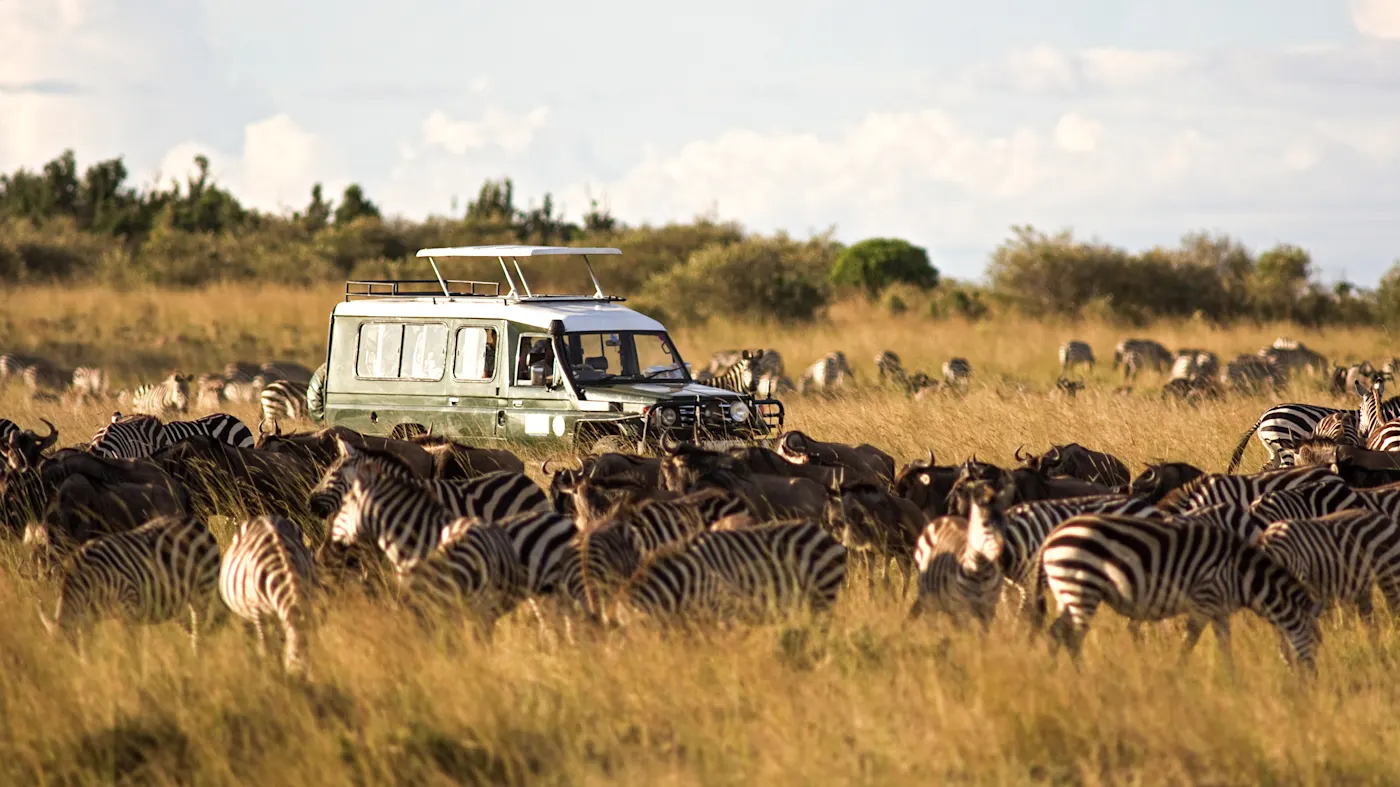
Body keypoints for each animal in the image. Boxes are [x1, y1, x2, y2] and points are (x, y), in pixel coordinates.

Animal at [39, 515, 223, 650]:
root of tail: (196, 522)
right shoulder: (87, 619)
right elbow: (87, 648)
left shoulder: (128, 607)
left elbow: (131, 648)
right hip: (179, 600)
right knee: (193, 630)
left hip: (202, 592)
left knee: (199, 631)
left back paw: (196, 659)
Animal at [1039, 513, 1323, 669]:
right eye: (1316, 642)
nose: (1312, 683)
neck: (1242, 575)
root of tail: (1052, 536)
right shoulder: (1204, 600)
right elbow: (1190, 642)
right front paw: (1176, 675)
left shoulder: (1219, 610)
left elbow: (1225, 646)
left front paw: (1232, 681)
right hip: (1082, 587)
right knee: (1073, 638)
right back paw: (1083, 677)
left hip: (1067, 592)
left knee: (1055, 634)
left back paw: (1053, 675)